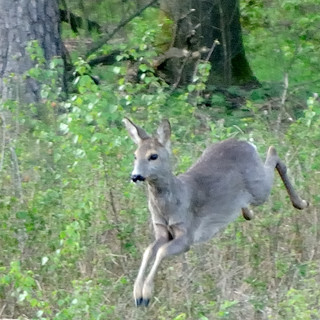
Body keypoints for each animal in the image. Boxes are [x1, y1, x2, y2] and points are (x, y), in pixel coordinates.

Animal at [124, 116, 308, 306]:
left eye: (153, 156)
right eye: (135, 155)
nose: (135, 176)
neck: (172, 203)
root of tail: (246, 143)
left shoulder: (187, 233)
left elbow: (161, 251)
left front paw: (145, 295)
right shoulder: (161, 230)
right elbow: (148, 251)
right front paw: (137, 294)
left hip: (258, 187)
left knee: (273, 153)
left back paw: (301, 202)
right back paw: (248, 213)